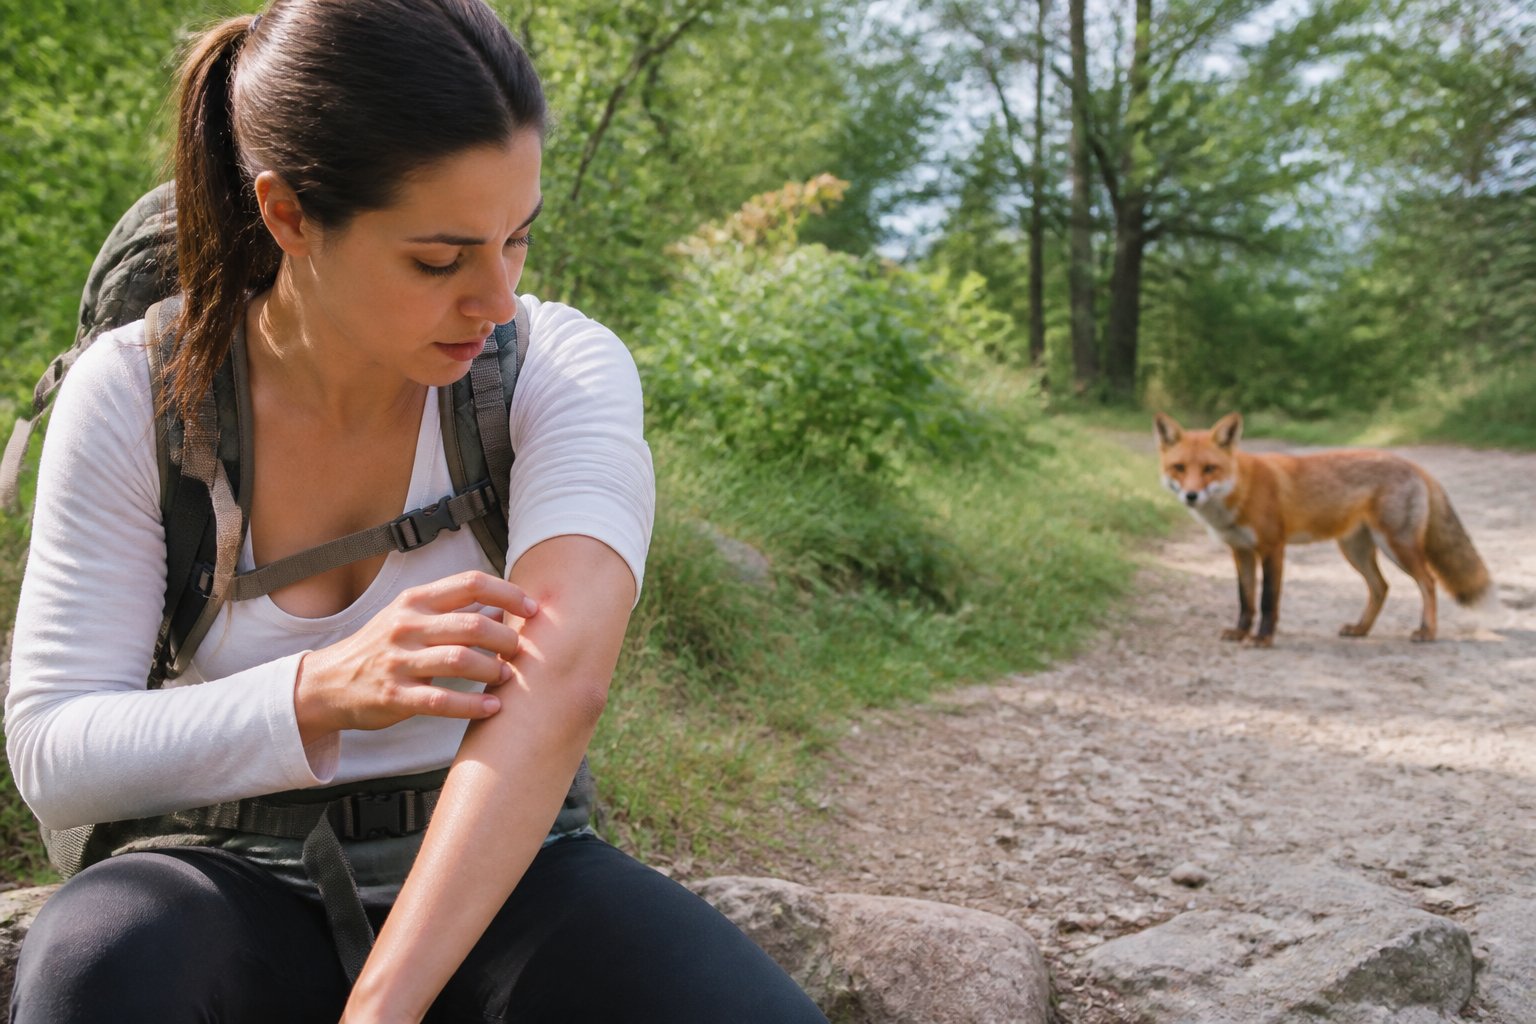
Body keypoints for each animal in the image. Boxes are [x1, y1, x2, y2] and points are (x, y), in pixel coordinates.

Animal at [1154, 412, 1492, 646]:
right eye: (1179, 468)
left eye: (1209, 469)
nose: (1191, 495)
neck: (1241, 490)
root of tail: (1415, 466)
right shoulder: (1241, 551)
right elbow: (1245, 600)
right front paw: (1239, 632)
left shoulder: (1272, 548)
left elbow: (1267, 601)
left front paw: (1262, 638)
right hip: (1355, 550)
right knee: (1381, 587)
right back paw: (1361, 629)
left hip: (1396, 546)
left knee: (1428, 582)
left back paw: (1427, 631)